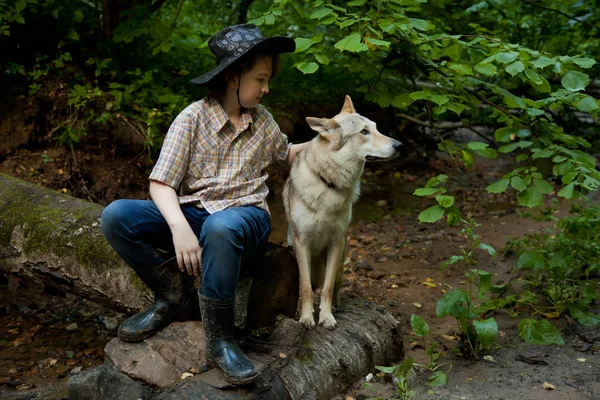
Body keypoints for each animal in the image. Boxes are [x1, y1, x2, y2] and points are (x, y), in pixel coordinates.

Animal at [282, 95, 404, 330]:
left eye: (376, 128)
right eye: (364, 132)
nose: (399, 145)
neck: (329, 184)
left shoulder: (336, 241)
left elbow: (328, 288)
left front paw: (327, 317)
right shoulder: (303, 243)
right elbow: (305, 288)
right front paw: (306, 318)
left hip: (341, 259)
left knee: (334, 285)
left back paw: (336, 307)